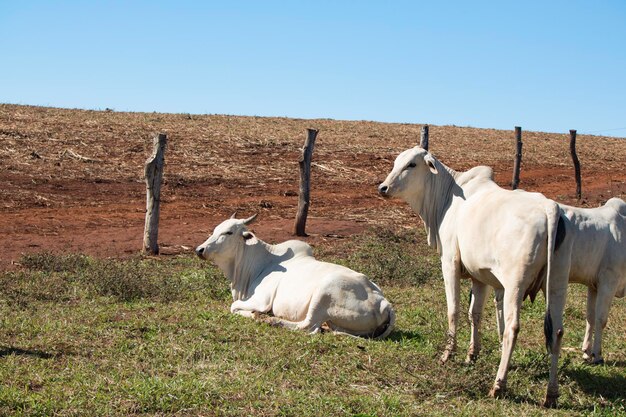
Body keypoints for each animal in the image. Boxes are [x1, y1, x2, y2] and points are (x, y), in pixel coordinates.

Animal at [194, 214, 394, 338]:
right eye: (215, 229)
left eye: (228, 232)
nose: (199, 250)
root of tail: (384, 303)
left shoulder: (260, 300)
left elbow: (234, 307)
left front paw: (254, 314)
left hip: (323, 294)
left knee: (307, 326)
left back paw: (271, 320)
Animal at [376, 146, 572, 406]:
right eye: (396, 162)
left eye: (412, 164)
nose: (383, 188)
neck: (448, 196)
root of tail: (550, 208)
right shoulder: (480, 278)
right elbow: (474, 314)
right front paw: (472, 354)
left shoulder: (449, 263)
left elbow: (454, 310)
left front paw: (448, 354)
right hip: (557, 285)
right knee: (556, 331)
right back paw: (551, 394)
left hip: (515, 285)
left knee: (512, 328)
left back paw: (498, 385)